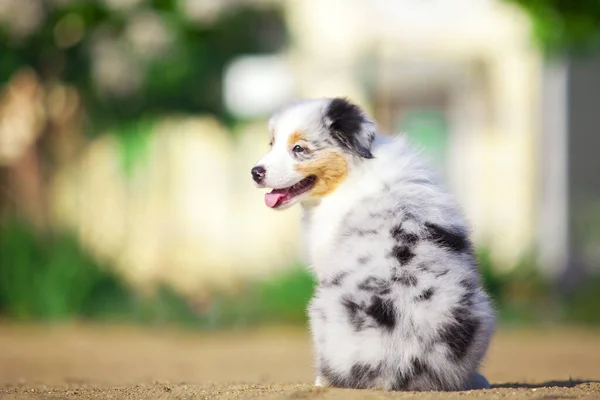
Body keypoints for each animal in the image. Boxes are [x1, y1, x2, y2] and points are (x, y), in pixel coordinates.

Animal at [251, 97, 494, 390]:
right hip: (485, 312)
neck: (352, 170)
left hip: (320, 309)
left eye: (299, 148)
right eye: (272, 143)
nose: (255, 173)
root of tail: (404, 360)